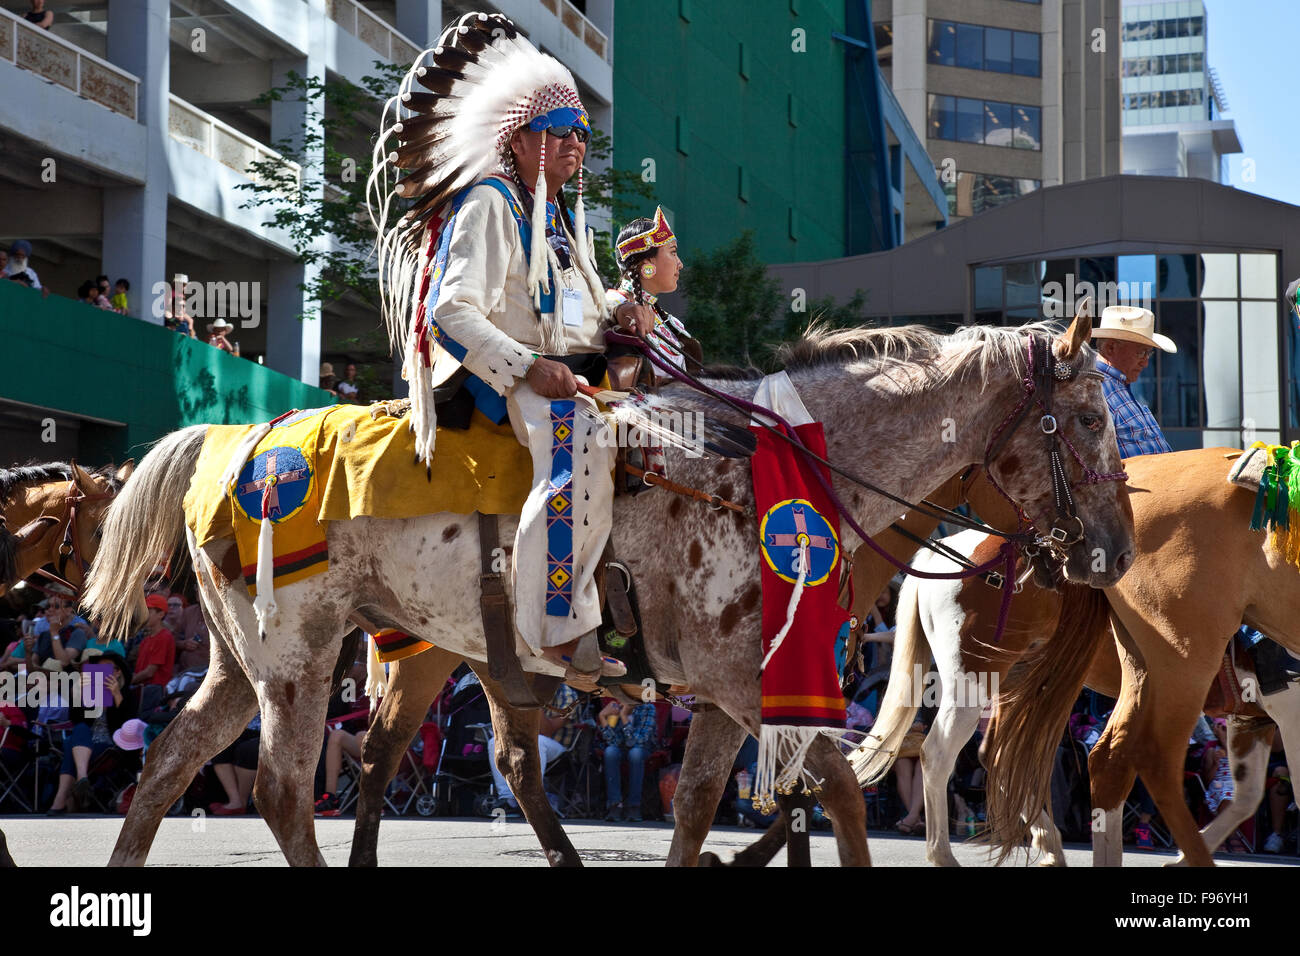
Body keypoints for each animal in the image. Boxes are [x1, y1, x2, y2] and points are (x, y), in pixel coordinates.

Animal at [86, 314, 1133, 868]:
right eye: (1087, 419)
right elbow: (832, 790)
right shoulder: (750, 683)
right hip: (298, 660)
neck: (776, 470)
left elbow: (703, 802)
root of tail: (237, 440)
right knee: (284, 787)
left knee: (173, 764)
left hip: (254, 664)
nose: (1114, 552)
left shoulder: (723, 694)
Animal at [857, 522, 1294, 868]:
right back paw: (943, 855)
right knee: (939, 755)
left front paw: (1185, 856)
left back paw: (1049, 843)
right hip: (972, 680)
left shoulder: (1252, 717)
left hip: (1016, 680)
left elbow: (1247, 796)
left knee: (995, 755)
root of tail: (942, 554)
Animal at [982, 447, 1300, 868]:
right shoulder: (1287, 712)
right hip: (1181, 661)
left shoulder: (1256, 718)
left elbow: (1247, 797)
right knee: (1152, 759)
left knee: (1096, 759)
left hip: (1131, 668)